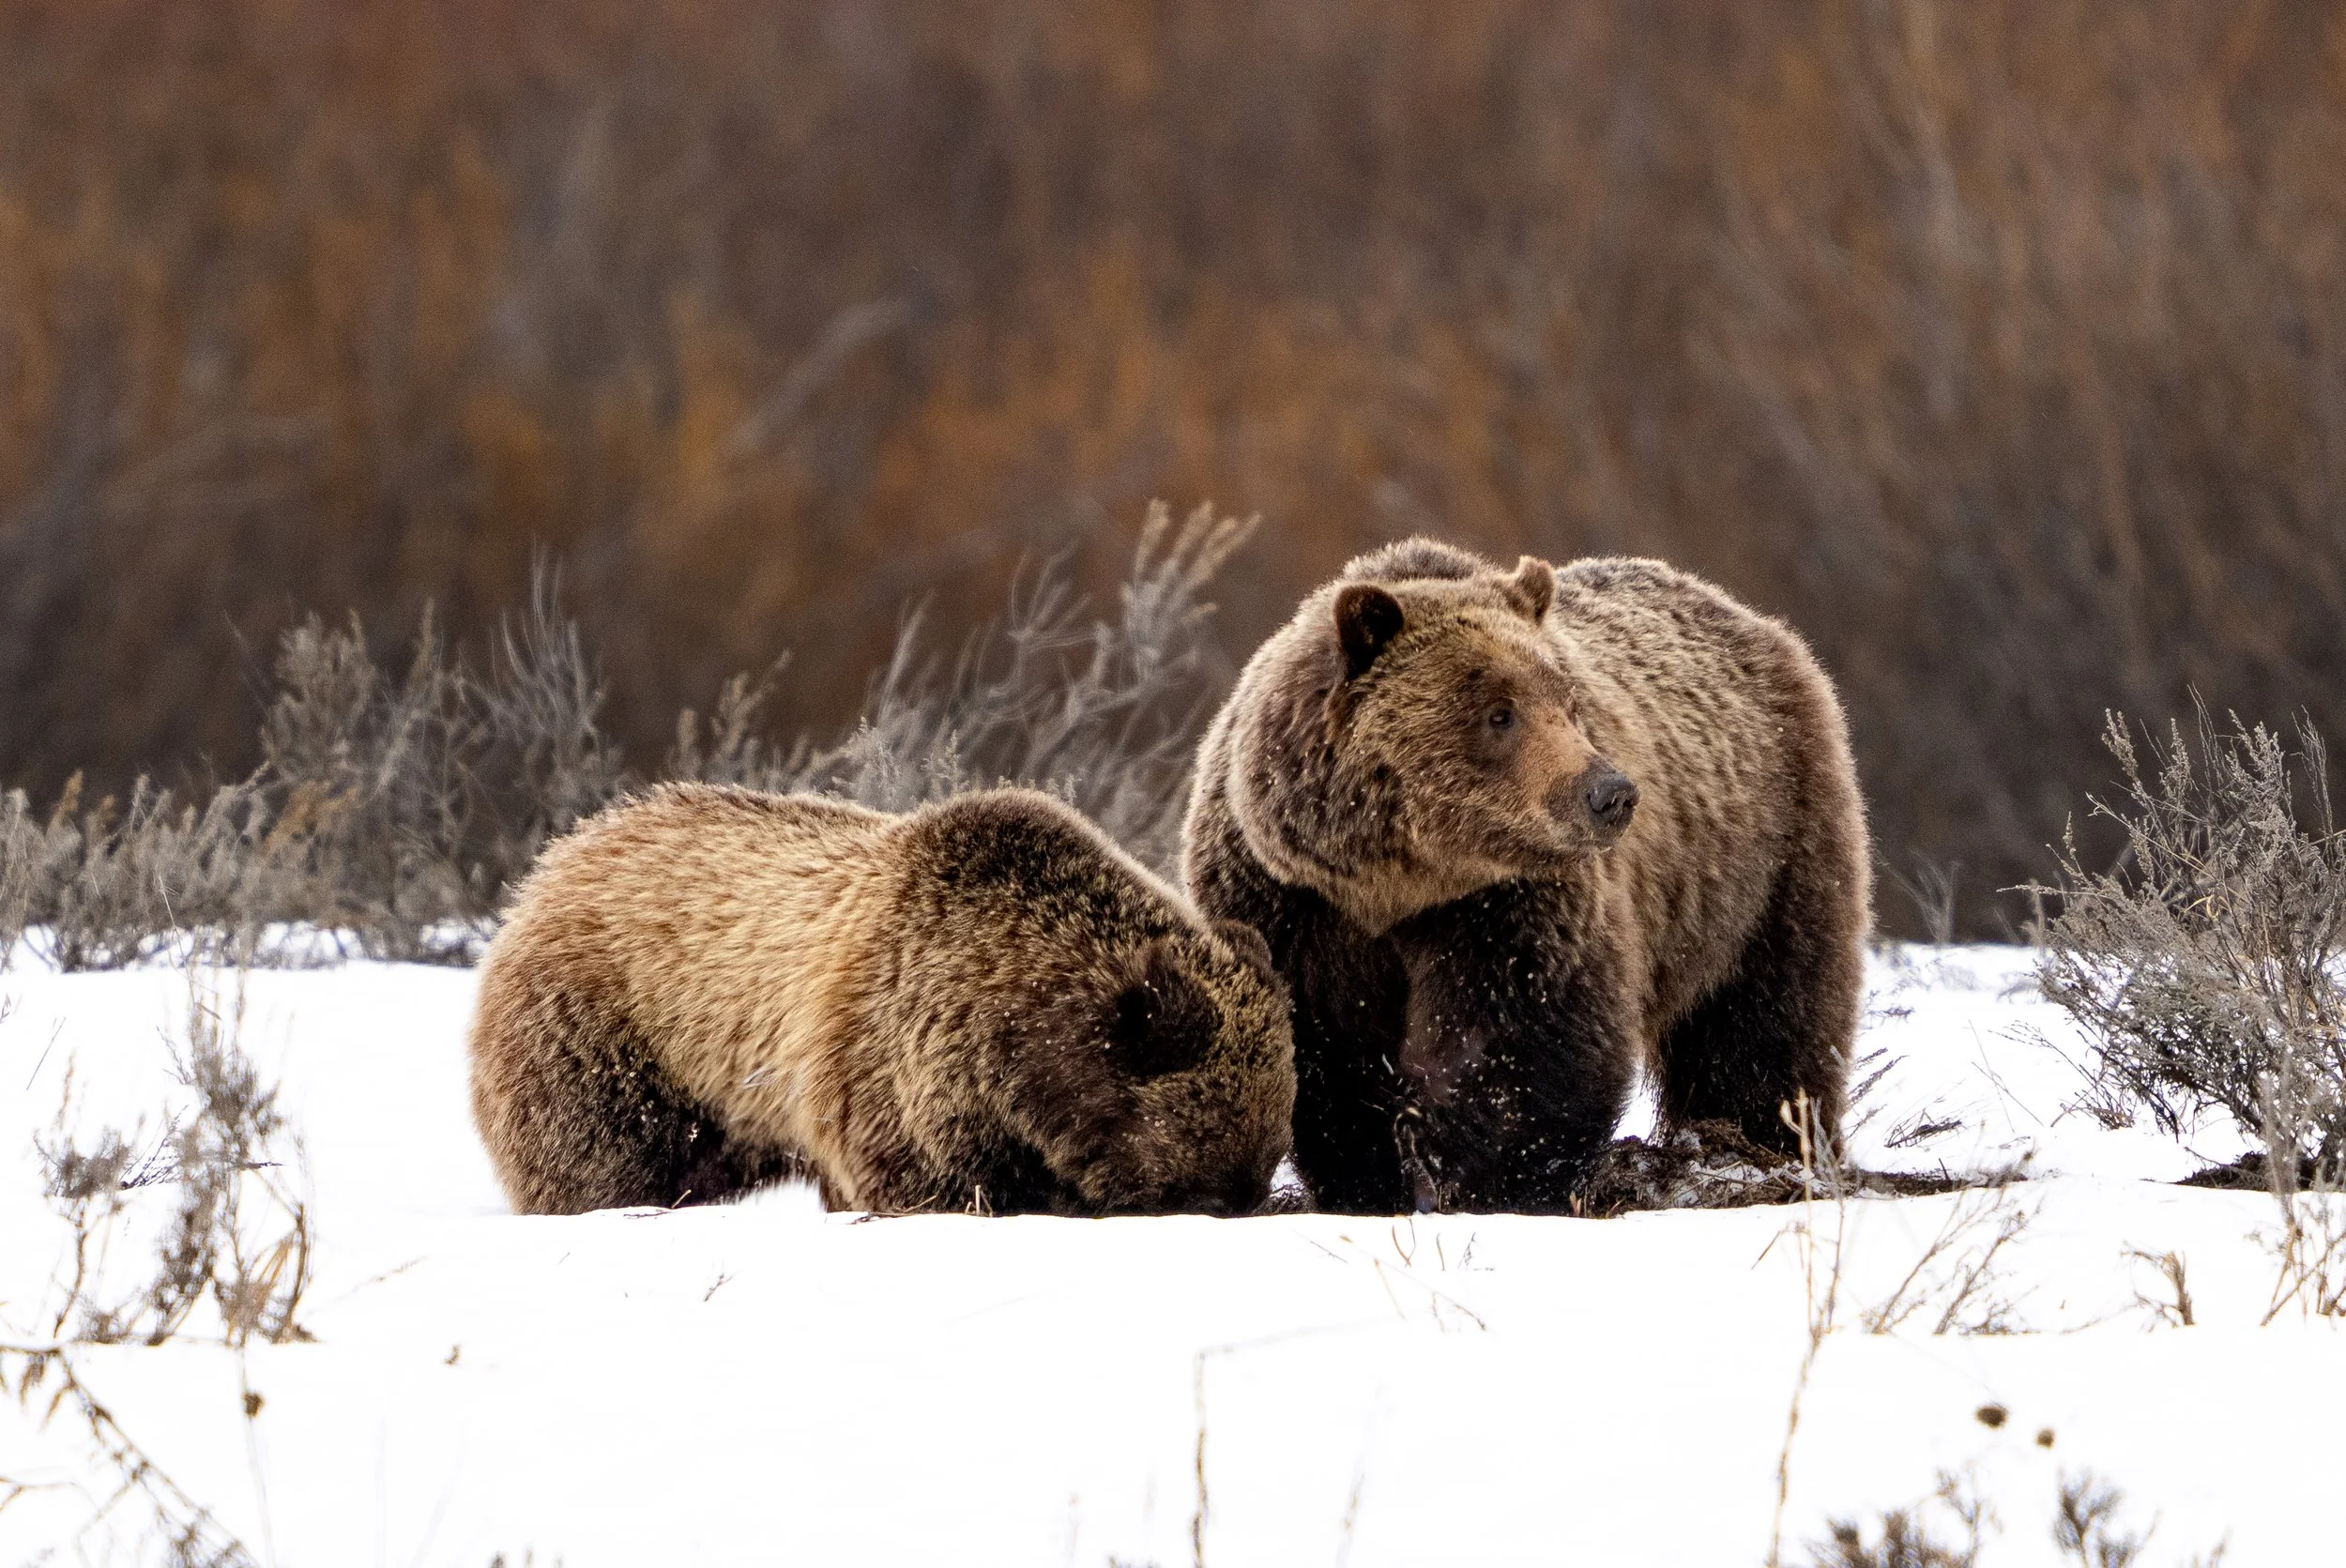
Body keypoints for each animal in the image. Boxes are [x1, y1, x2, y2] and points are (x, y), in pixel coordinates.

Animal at [470, 782, 1295, 1217]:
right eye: (1209, 1151)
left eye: (1276, 1131)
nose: (1254, 1196)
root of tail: (547, 869)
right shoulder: (897, 1066)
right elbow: (924, 1182)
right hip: (608, 1042)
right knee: (601, 1158)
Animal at [1181, 538, 1869, 1213]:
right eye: (1499, 712)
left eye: (1567, 702)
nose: (1611, 793)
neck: (1397, 885)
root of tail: (1749, 618)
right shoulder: (1292, 905)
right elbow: (1329, 1052)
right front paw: (1370, 1184)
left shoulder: (1511, 903)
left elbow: (1525, 1038)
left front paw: (1489, 1183)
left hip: (1765, 852)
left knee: (1767, 1015)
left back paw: (1763, 1143)